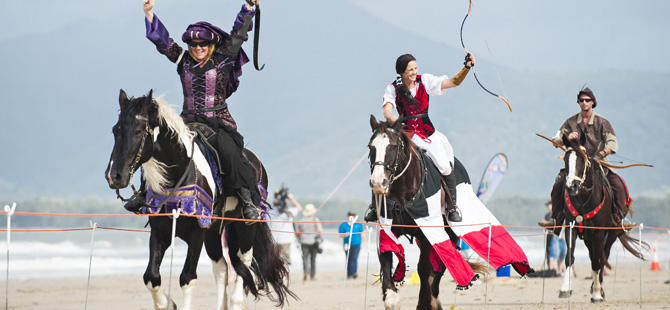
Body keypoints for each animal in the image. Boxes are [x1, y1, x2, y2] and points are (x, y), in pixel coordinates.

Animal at [105, 88, 294, 308]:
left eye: (138, 131)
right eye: (115, 130)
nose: (115, 176)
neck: (177, 176)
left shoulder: (197, 231)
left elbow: (187, 278)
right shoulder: (160, 231)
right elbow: (151, 277)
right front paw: (168, 304)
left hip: (245, 224)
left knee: (244, 260)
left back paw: (237, 301)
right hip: (214, 230)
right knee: (222, 268)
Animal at [368, 115, 488, 310]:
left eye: (393, 146)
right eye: (371, 147)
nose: (378, 183)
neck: (403, 194)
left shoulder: (427, 233)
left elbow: (424, 269)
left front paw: (425, 302)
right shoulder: (386, 227)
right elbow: (385, 259)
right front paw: (391, 298)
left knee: (439, 267)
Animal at [556, 134, 652, 302]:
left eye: (583, 159)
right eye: (566, 160)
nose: (571, 186)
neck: (584, 199)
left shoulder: (599, 232)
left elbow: (597, 261)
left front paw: (596, 293)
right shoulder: (571, 227)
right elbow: (570, 257)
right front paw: (565, 288)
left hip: (612, 232)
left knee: (603, 255)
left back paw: (599, 288)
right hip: (588, 236)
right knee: (594, 255)